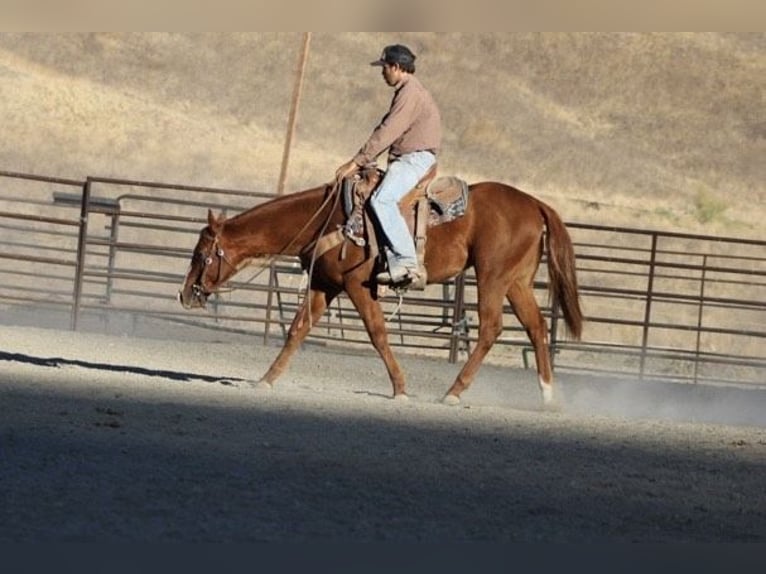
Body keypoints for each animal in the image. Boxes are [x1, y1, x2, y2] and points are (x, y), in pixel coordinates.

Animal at [178, 178, 584, 408]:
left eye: (200, 254)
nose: (185, 295)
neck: (326, 219)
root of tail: (534, 204)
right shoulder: (326, 285)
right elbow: (297, 331)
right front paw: (266, 380)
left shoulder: (358, 286)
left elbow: (377, 333)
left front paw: (400, 389)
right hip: (517, 282)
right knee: (537, 328)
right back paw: (547, 396)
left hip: (493, 277)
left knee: (490, 329)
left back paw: (453, 392)